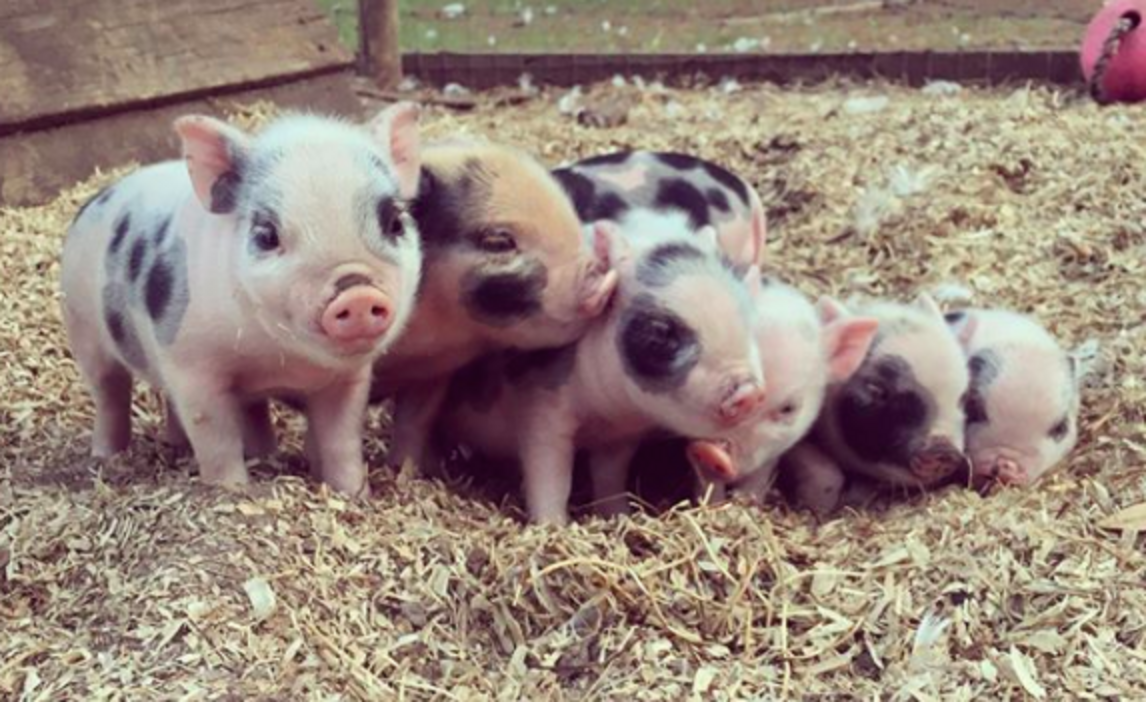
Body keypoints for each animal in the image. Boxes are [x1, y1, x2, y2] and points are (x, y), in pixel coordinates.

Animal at [60, 104, 424, 495]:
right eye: (267, 235)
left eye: (395, 222)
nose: (356, 292)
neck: (275, 358)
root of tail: (96, 199)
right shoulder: (191, 364)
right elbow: (215, 436)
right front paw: (232, 491)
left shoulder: (349, 378)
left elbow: (340, 441)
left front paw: (354, 494)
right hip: (84, 330)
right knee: (109, 393)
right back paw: (106, 457)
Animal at [435, 224, 768, 525]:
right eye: (660, 332)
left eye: (749, 315)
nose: (749, 394)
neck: (607, 412)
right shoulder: (542, 408)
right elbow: (551, 475)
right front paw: (554, 526)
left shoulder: (619, 439)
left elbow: (610, 478)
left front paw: (619, 518)